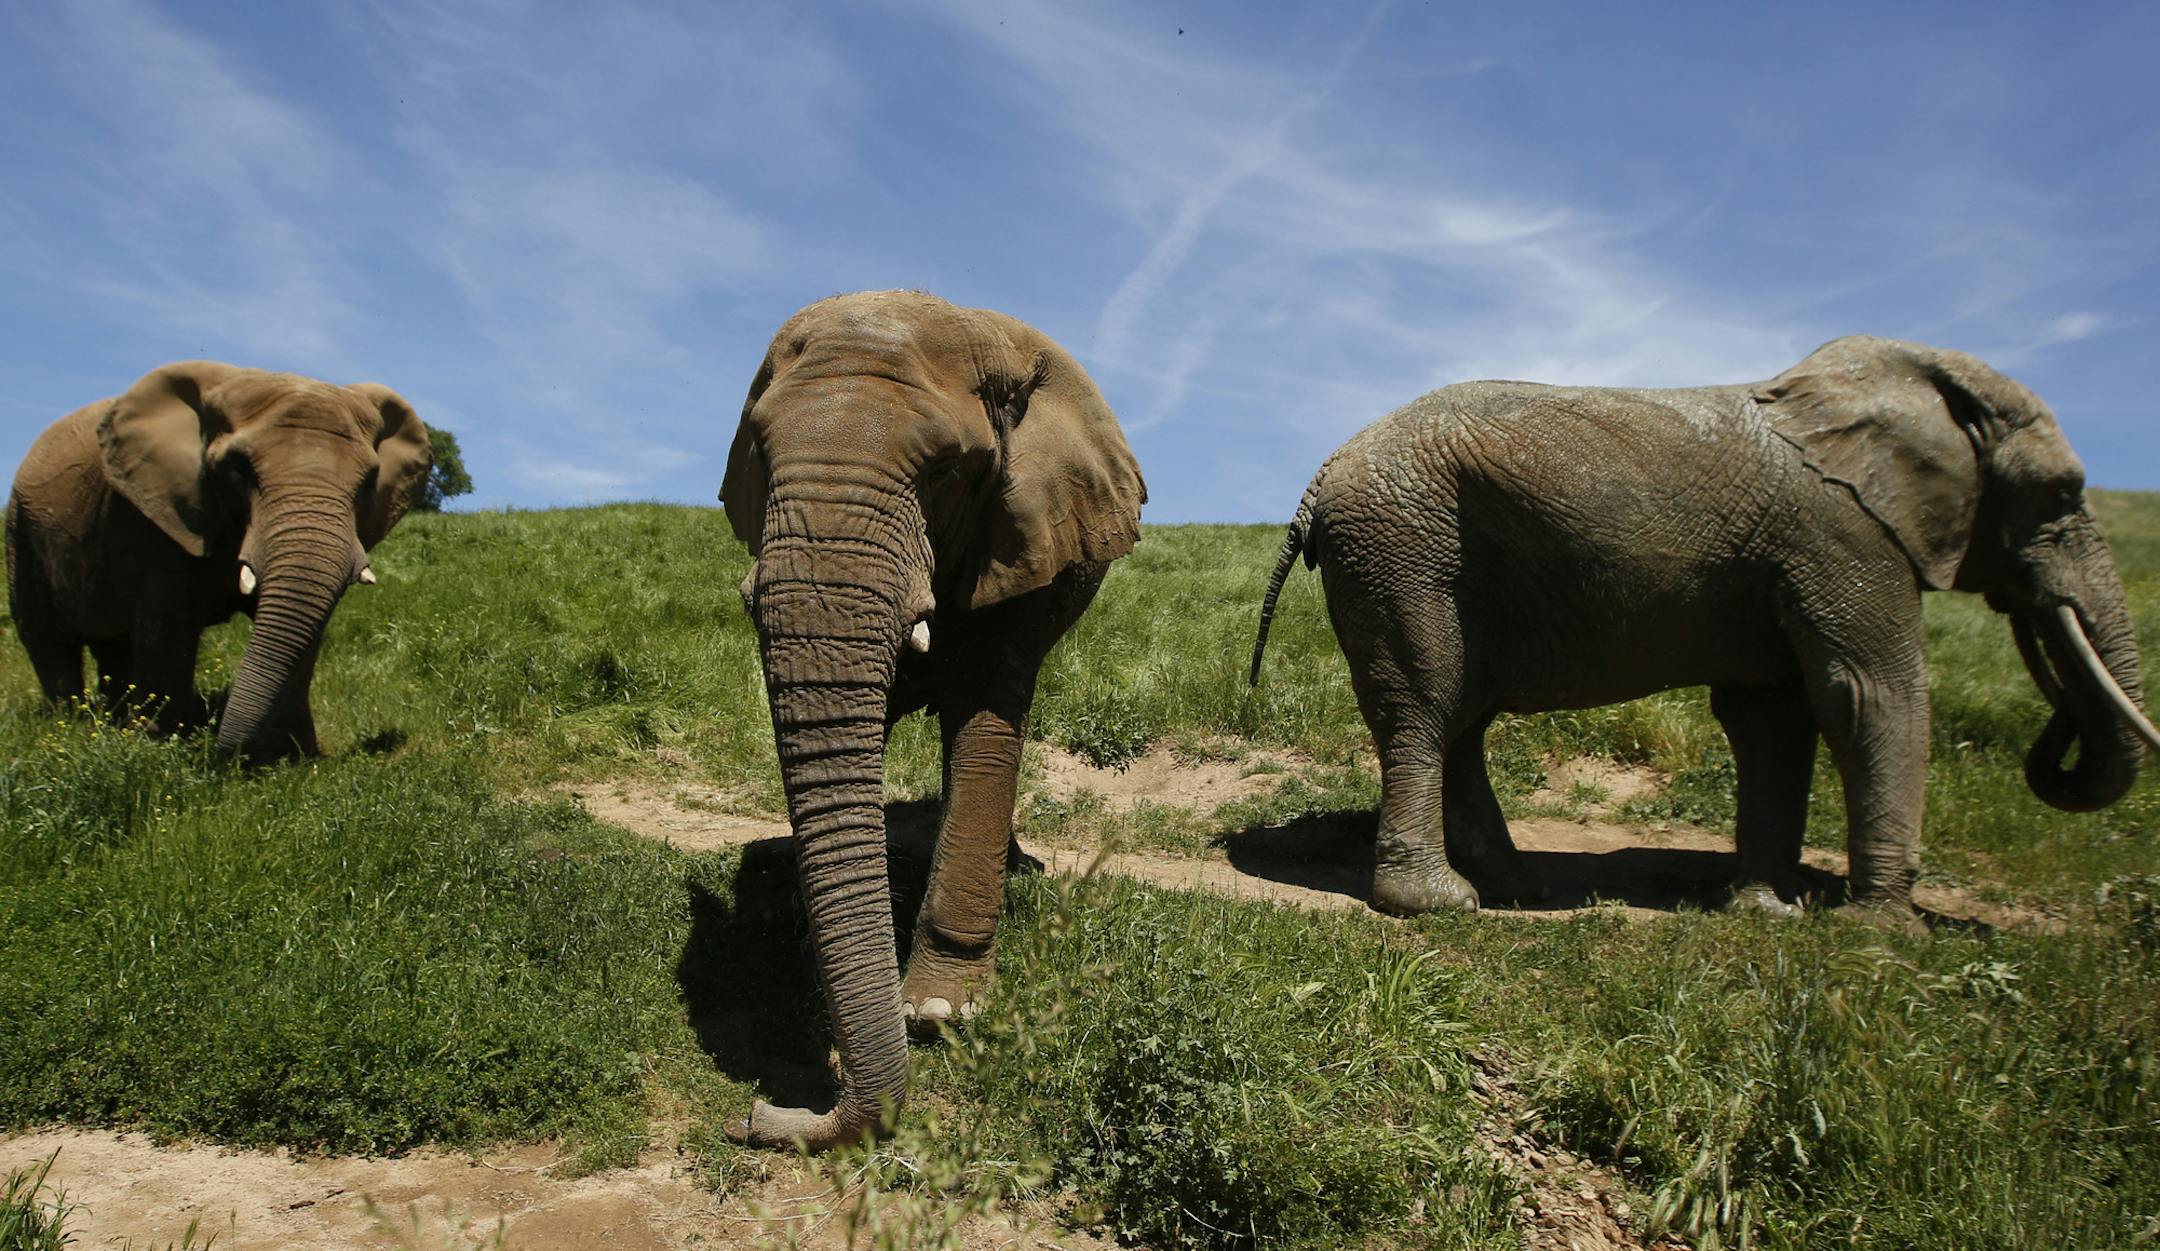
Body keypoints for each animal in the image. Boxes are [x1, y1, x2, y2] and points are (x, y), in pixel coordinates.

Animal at [7, 362, 431, 759]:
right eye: (238, 469)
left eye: (368, 481)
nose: (223, 750)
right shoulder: (146, 516)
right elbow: (168, 623)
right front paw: (163, 747)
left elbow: (304, 629)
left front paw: (289, 755)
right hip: (19, 526)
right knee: (46, 637)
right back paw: (74, 723)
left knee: (112, 645)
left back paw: (113, 720)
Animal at [718, 290, 1146, 1150]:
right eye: (761, 453)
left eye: (946, 470)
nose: (756, 1115)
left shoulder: (1022, 524)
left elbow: (986, 716)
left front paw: (939, 1012)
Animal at [1250, 336, 2157, 927]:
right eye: (2061, 493)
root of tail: (1320, 476)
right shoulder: (1842, 537)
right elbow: (1869, 695)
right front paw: (1880, 935)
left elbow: (1773, 717)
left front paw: (1763, 911)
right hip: (1405, 549)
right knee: (1427, 706)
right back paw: (1442, 906)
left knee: (1463, 717)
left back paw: (1519, 889)